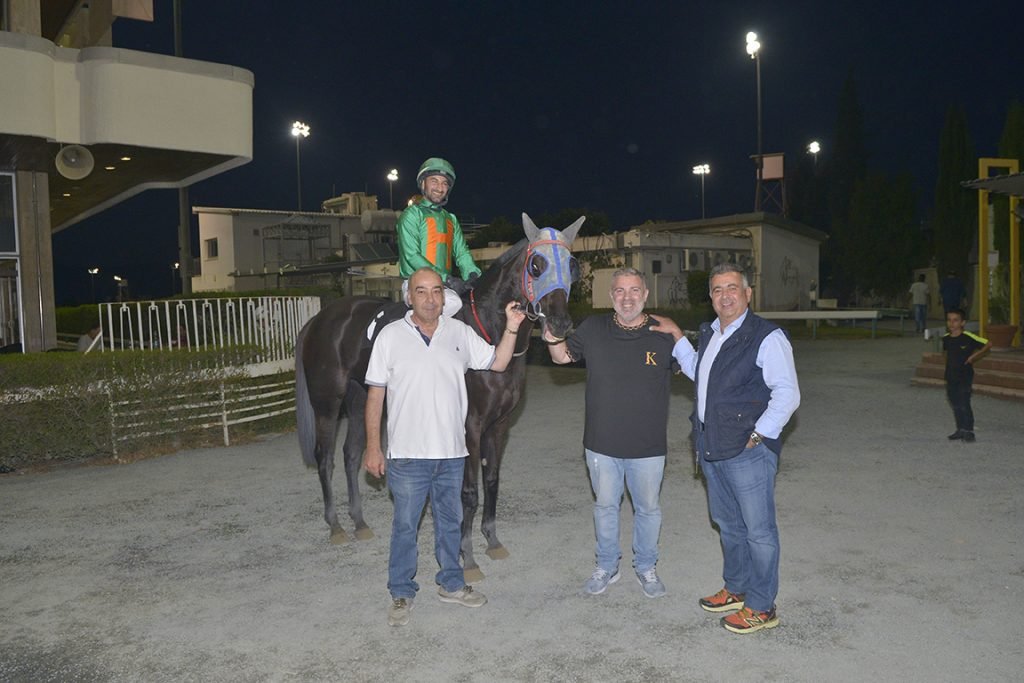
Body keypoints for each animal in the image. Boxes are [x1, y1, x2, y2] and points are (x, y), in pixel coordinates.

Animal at [295, 212, 583, 581]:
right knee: (325, 457)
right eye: (536, 265)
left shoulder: (499, 425)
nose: (560, 323)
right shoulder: (470, 426)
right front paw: (467, 557)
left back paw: (359, 522)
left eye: (572, 265)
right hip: (327, 401)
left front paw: (492, 540)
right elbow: (469, 492)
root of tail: (319, 318)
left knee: (350, 454)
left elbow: (492, 481)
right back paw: (335, 525)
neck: (488, 337)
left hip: (361, 397)